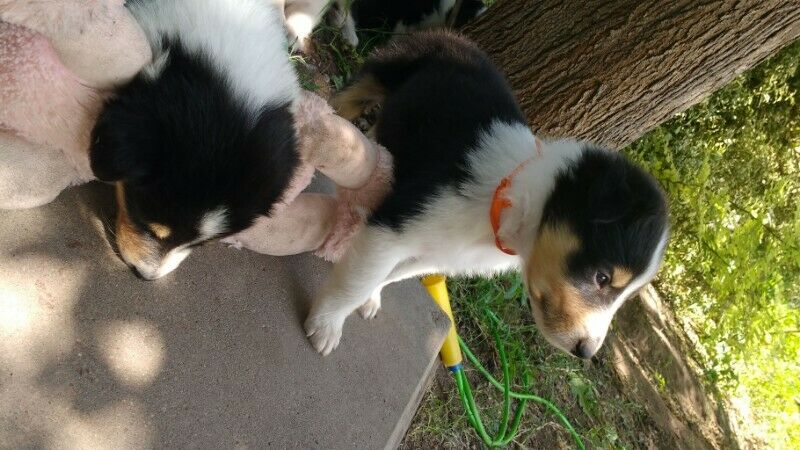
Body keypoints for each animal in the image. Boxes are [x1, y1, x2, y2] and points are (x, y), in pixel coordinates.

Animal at [306, 31, 668, 358]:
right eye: (602, 277)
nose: (587, 352)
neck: (509, 197)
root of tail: (458, 37)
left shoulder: (438, 253)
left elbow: (390, 275)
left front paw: (371, 298)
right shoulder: (400, 223)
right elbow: (356, 281)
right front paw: (326, 326)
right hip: (383, 71)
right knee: (345, 98)